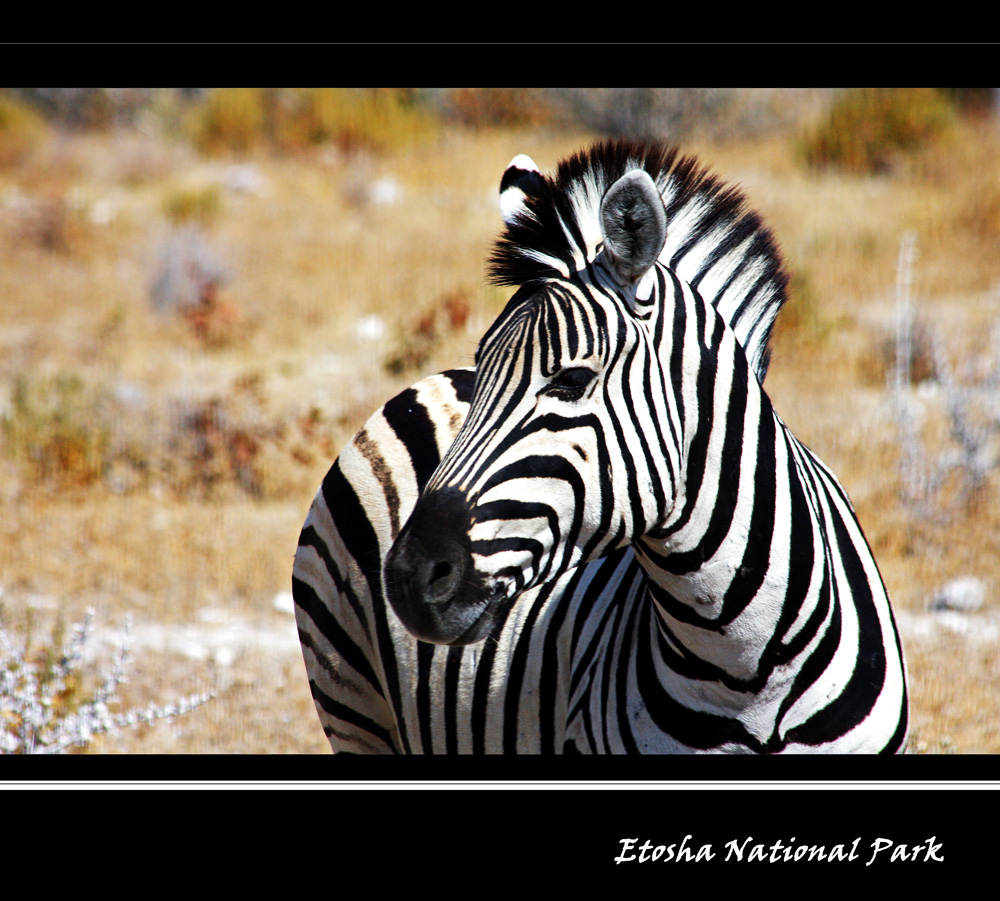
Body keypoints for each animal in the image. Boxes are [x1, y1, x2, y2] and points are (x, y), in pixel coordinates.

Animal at [292, 137, 912, 748]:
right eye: (484, 367)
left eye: (571, 380)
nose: (406, 578)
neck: (746, 665)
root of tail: (429, 382)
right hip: (353, 710)